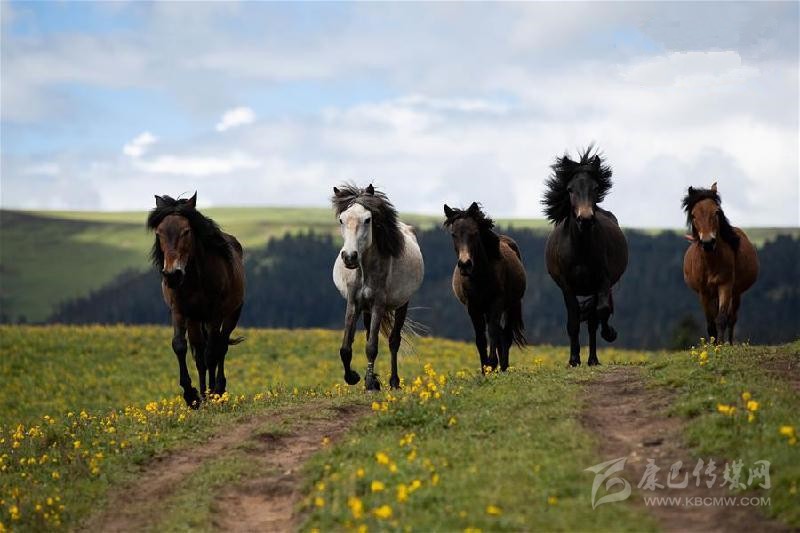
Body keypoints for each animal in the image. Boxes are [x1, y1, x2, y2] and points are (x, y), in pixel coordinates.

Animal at [145, 193, 242, 406]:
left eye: (186, 231)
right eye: (159, 233)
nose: (172, 275)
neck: (195, 280)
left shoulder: (216, 314)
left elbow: (212, 353)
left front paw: (213, 394)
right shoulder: (180, 311)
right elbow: (180, 346)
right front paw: (192, 396)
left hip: (231, 314)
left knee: (220, 347)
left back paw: (218, 390)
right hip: (195, 321)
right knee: (200, 356)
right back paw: (205, 394)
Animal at [330, 185, 422, 388]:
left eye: (367, 219)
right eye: (341, 219)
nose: (350, 257)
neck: (365, 271)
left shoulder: (379, 304)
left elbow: (372, 347)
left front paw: (371, 384)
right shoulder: (353, 303)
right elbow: (346, 348)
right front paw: (353, 377)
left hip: (401, 304)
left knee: (393, 341)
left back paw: (394, 382)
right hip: (366, 309)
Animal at [444, 202, 524, 372]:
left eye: (474, 233)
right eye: (453, 234)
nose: (465, 264)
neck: (480, 277)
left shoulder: (497, 303)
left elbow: (493, 333)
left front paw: (492, 364)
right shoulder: (473, 307)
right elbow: (480, 338)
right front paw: (485, 369)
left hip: (512, 305)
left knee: (505, 335)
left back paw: (504, 367)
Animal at [540, 148, 628, 368]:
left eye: (595, 188)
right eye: (570, 189)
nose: (585, 219)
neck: (580, 248)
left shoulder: (602, 281)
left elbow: (601, 311)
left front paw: (609, 334)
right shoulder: (567, 286)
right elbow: (573, 321)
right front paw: (573, 359)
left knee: (594, 319)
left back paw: (593, 359)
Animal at [684, 181, 760, 342]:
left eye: (716, 212)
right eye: (693, 215)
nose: (707, 243)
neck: (711, 263)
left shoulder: (725, 285)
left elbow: (721, 319)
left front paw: (720, 344)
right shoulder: (704, 292)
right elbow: (710, 321)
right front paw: (713, 344)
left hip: (736, 292)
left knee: (732, 318)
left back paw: (729, 342)